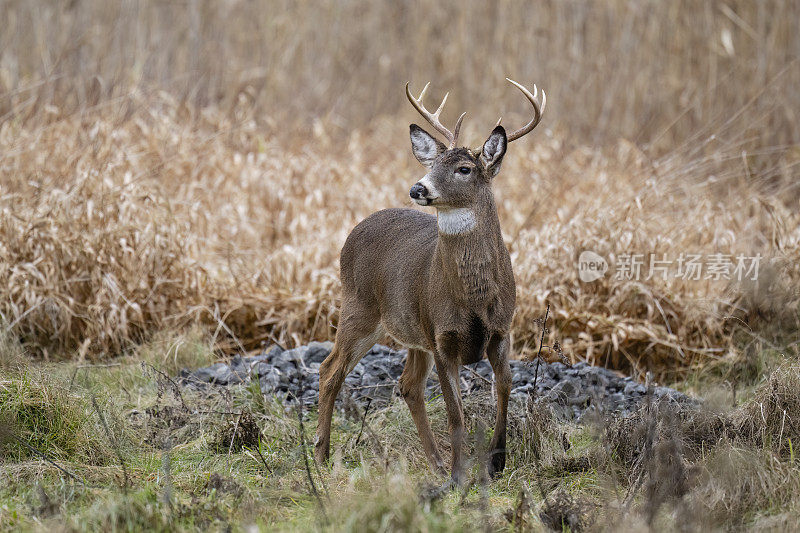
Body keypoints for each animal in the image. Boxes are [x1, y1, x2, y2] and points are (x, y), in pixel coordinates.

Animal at [316, 78, 548, 482]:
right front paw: (459, 475)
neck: (474, 298)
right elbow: (455, 412)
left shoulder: (502, 329)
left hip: (411, 330)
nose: (418, 188)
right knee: (330, 370)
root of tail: (353, 232)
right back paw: (320, 454)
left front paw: (495, 462)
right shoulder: (442, 336)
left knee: (408, 385)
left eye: (465, 168)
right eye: (433, 163)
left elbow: (504, 389)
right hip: (360, 308)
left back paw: (435, 462)